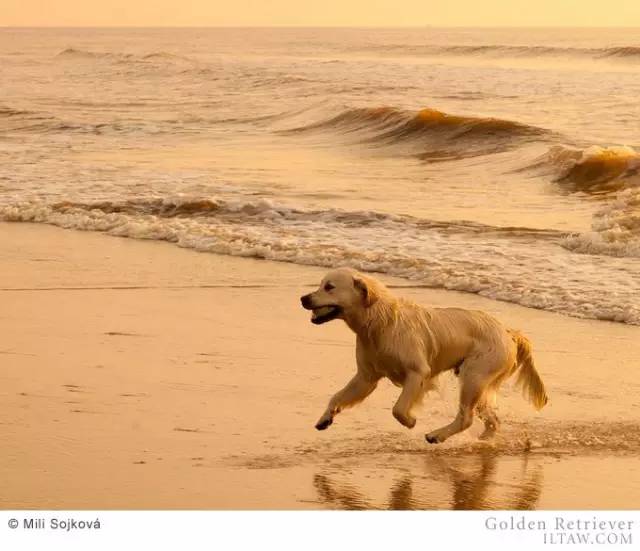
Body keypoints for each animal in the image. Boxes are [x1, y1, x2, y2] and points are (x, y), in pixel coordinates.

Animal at [298, 268, 544, 444]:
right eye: (320, 284)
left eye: (329, 287)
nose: (303, 298)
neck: (380, 323)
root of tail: (509, 333)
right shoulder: (366, 377)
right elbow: (336, 397)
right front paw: (325, 418)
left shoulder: (417, 372)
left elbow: (398, 409)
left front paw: (410, 421)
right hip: (480, 383)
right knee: (492, 419)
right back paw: (484, 439)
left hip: (474, 376)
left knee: (466, 417)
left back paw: (437, 435)